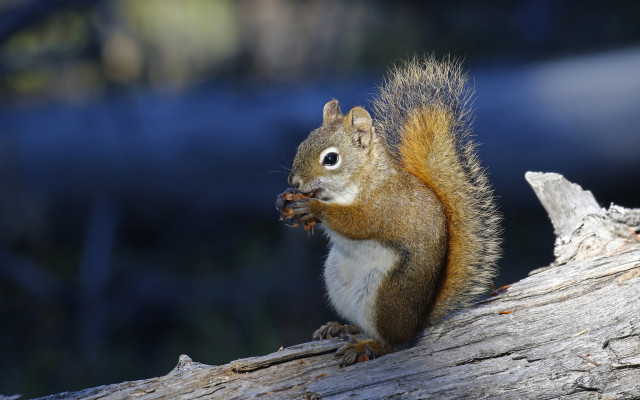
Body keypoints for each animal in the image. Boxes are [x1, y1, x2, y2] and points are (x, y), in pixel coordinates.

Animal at [276, 56, 502, 366]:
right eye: (302, 144)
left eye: (331, 159)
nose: (294, 182)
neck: (359, 179)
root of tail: (416, 321)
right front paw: (285, 202)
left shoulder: (383, 205)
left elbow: (357, 222)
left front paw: (313, 207)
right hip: (336, 279)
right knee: (362, 324)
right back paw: (340, 327)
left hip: (384, 296)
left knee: (395, 342)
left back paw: (367, 346)